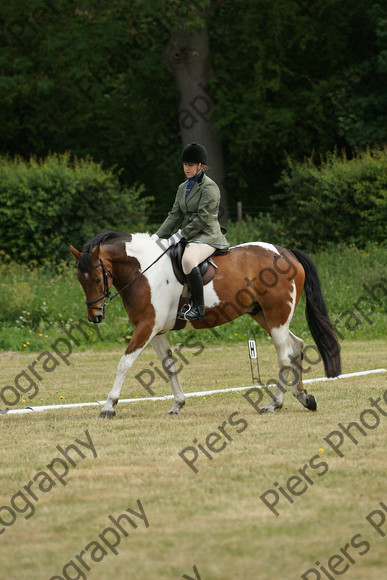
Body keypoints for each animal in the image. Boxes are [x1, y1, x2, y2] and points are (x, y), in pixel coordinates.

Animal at [68, 230, 342, 416]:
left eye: (96, 278)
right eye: (79, 280)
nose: (95, 316)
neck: (143, 271)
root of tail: (286, 252)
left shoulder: (147, 326)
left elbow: (124, 363)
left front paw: (108, 406)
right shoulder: (157, 330)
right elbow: (169, 365)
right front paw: (178, 404)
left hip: (276, 316)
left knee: (284, 356)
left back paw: (274, 403)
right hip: (263, 315)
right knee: (296, 347)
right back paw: (304, 397)